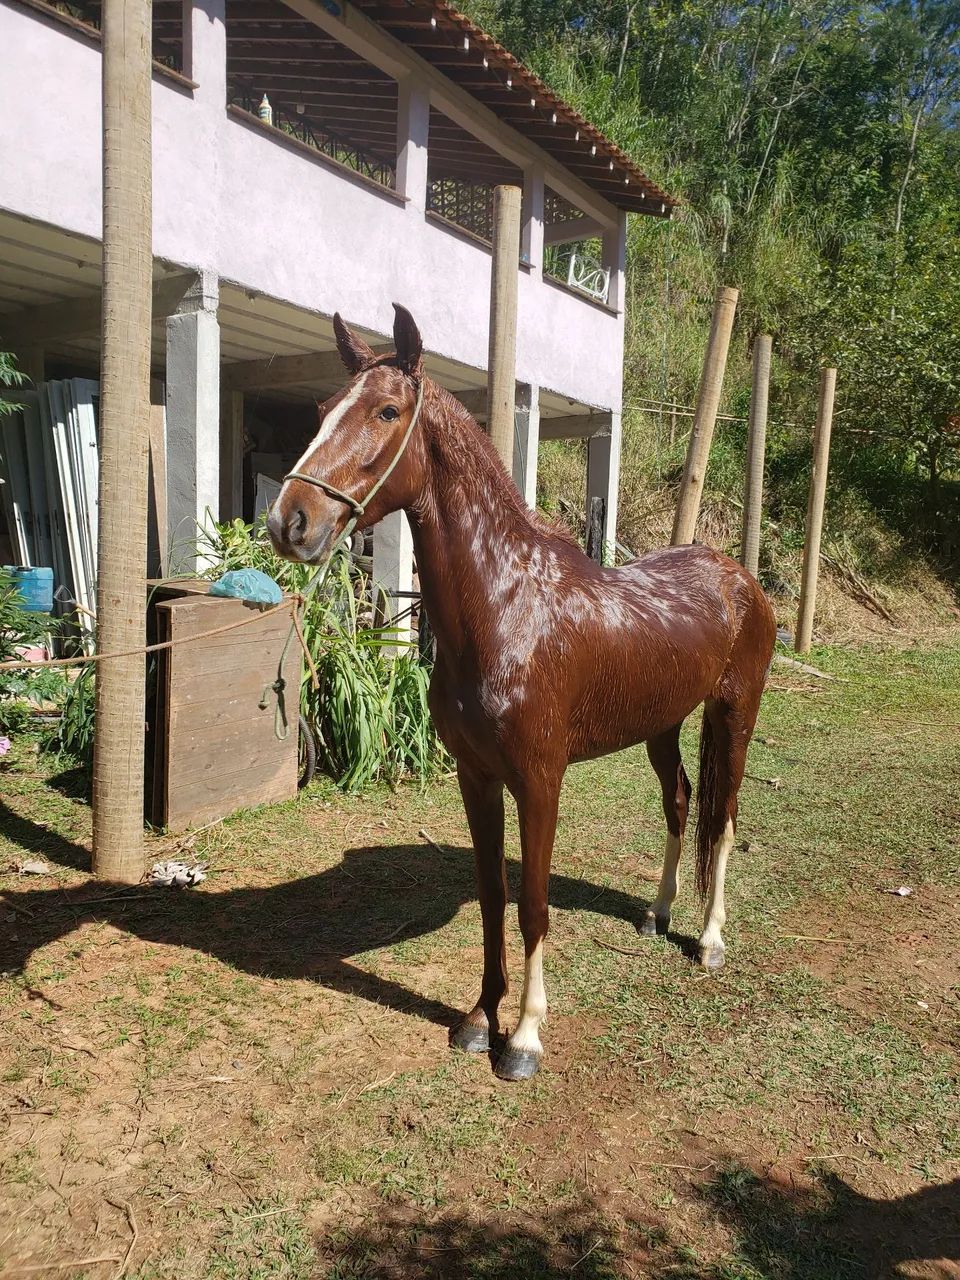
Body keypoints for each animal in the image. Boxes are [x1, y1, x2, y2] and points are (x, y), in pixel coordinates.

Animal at [267, 304, 777, 1082]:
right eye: (324, 410)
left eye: (387, 411)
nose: (288, 521)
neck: (507, 606)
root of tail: (740, 577)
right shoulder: (476, 778)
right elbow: (492, 897)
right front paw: (481, 1019)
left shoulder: (540, 781)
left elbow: (534, 904)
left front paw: (526, 1038)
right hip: (662, 726)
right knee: (681, 803)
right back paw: (657, 914)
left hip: (733, 717)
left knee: (723, 819)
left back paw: (710, 938)